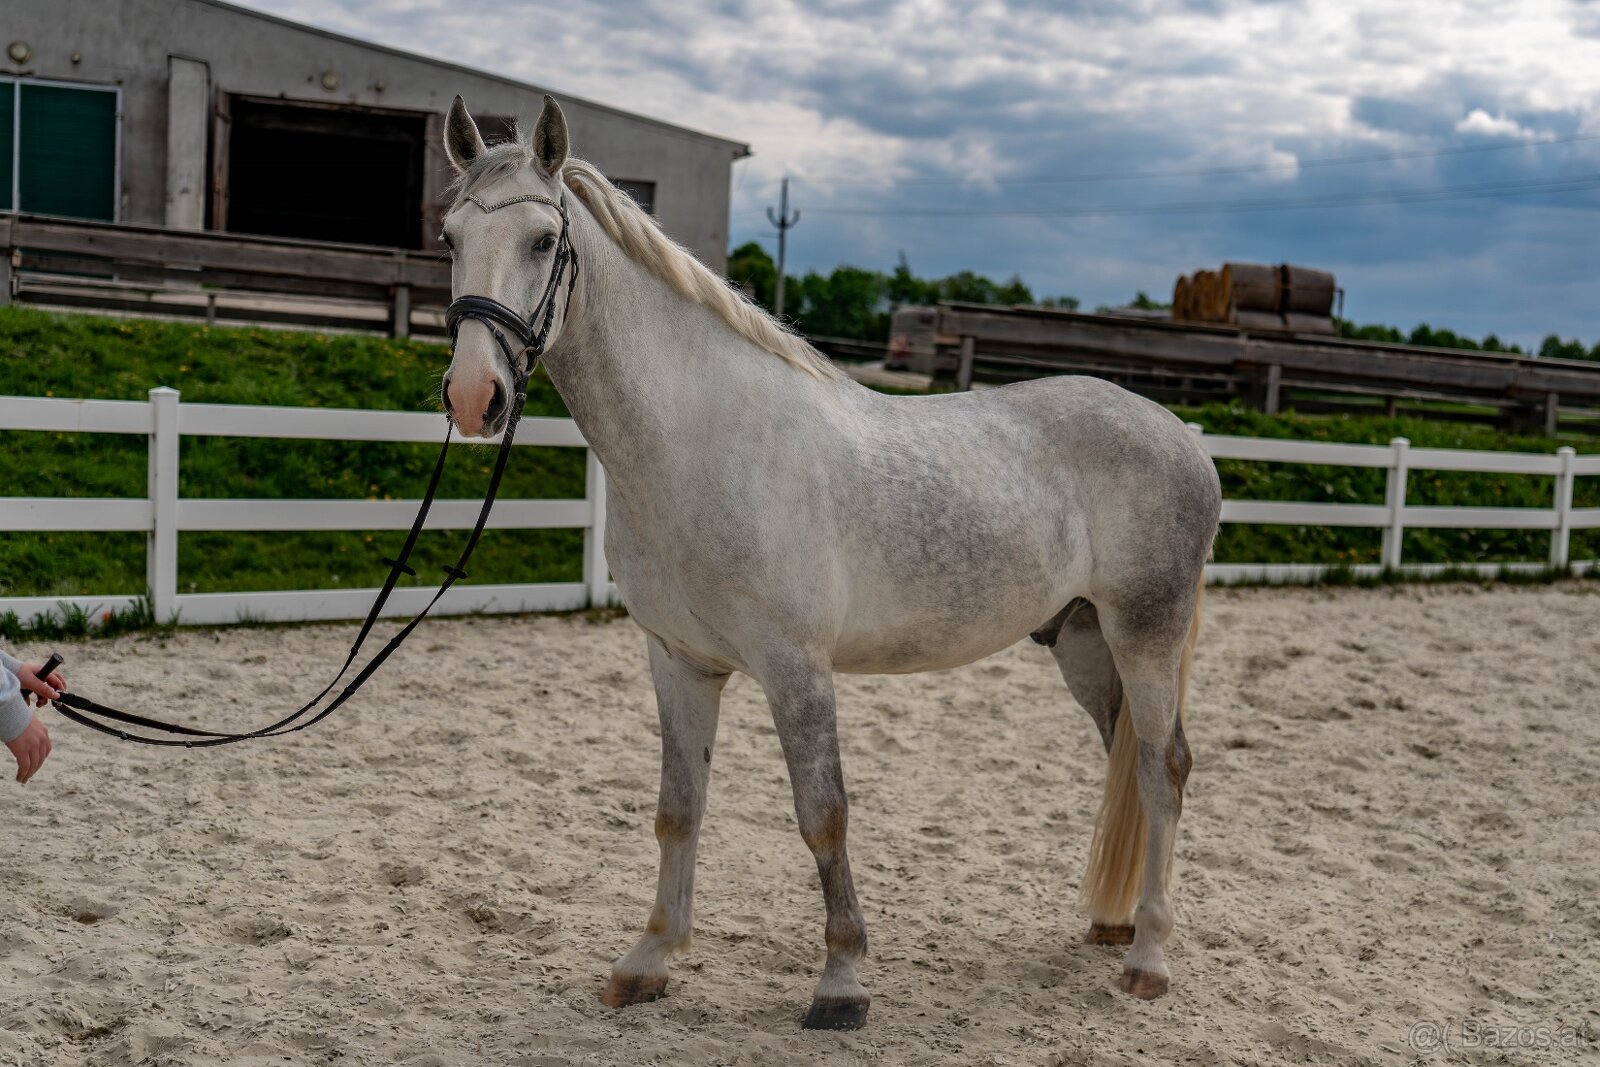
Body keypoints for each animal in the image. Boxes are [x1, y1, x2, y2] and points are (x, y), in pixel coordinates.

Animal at [438, 94, 1221, 1031]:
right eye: (449, 236)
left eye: (543, 241)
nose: (473, 397)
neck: (703, 440)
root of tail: (1184, 439)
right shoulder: (680, 663)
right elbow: (678, 808)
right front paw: (648, 959)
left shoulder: (796, 667)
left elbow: (824, 814)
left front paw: (841, 980)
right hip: (1083, 642)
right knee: (1126, 763)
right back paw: (1114, 924)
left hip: (1145, 636)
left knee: (1163, 770)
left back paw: (1150, 957)